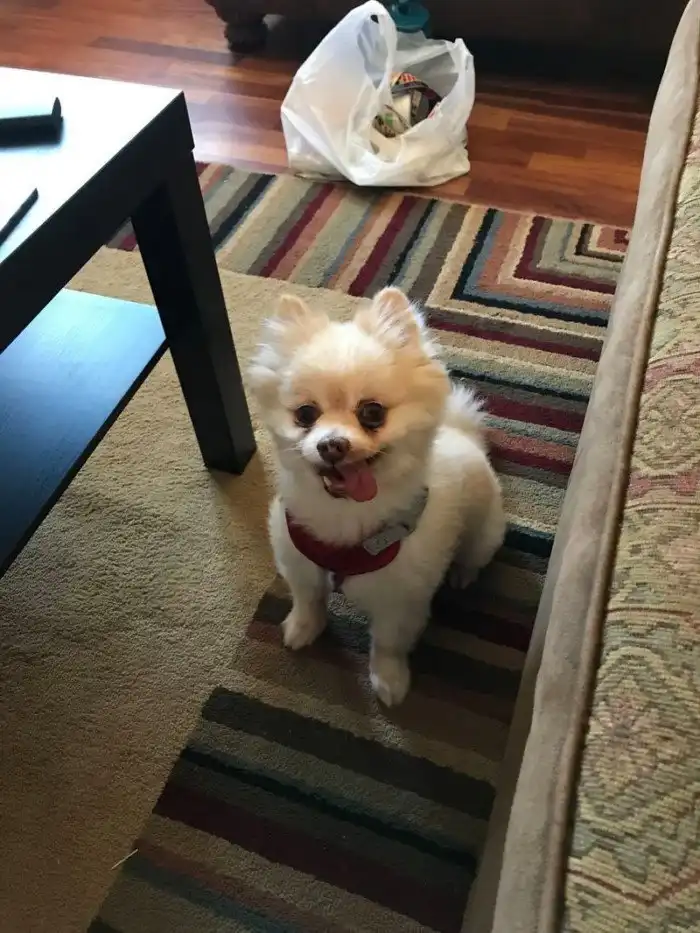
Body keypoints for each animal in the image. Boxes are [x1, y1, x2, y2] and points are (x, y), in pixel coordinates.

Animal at [249, 287, 505, 706]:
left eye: (372, 412)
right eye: (305, 414)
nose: (331, 445)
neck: (345, 517)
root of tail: (463, 434)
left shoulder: (401, 599)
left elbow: (387, 645)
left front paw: (389, 681)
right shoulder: (298, 558)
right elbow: (308, 597)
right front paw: (303, 628)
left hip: (485, 533)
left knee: (474, 554)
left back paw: (463, 574)